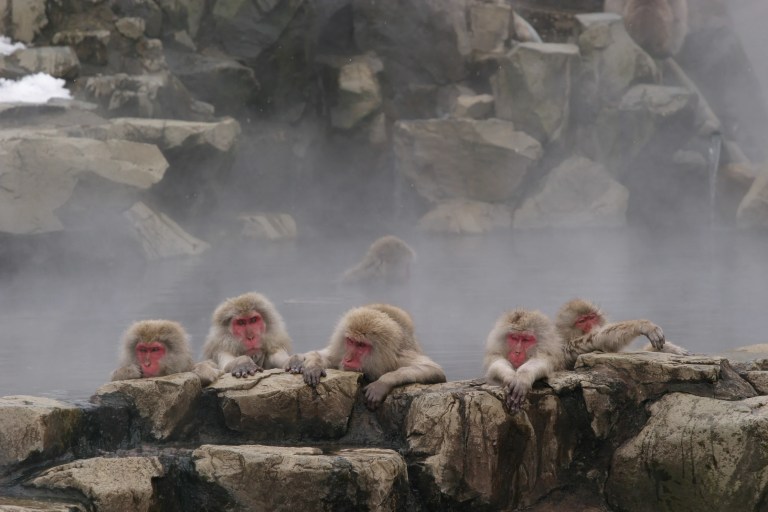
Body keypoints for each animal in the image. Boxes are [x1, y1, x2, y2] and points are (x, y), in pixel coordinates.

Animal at [287, 304, 446, 410]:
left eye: (361, 345)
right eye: (351, 341)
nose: (348, 359)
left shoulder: (398, 358)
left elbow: (433, 370)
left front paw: (382, 383)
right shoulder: (341, 352)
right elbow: (328, 357)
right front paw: (314, 365)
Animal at [555, 298, 690, 369]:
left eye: (591, 317)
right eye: (582, 321)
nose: (593, 326)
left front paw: (669, 348)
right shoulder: (568, 348)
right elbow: (600, 338)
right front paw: (643, 325)